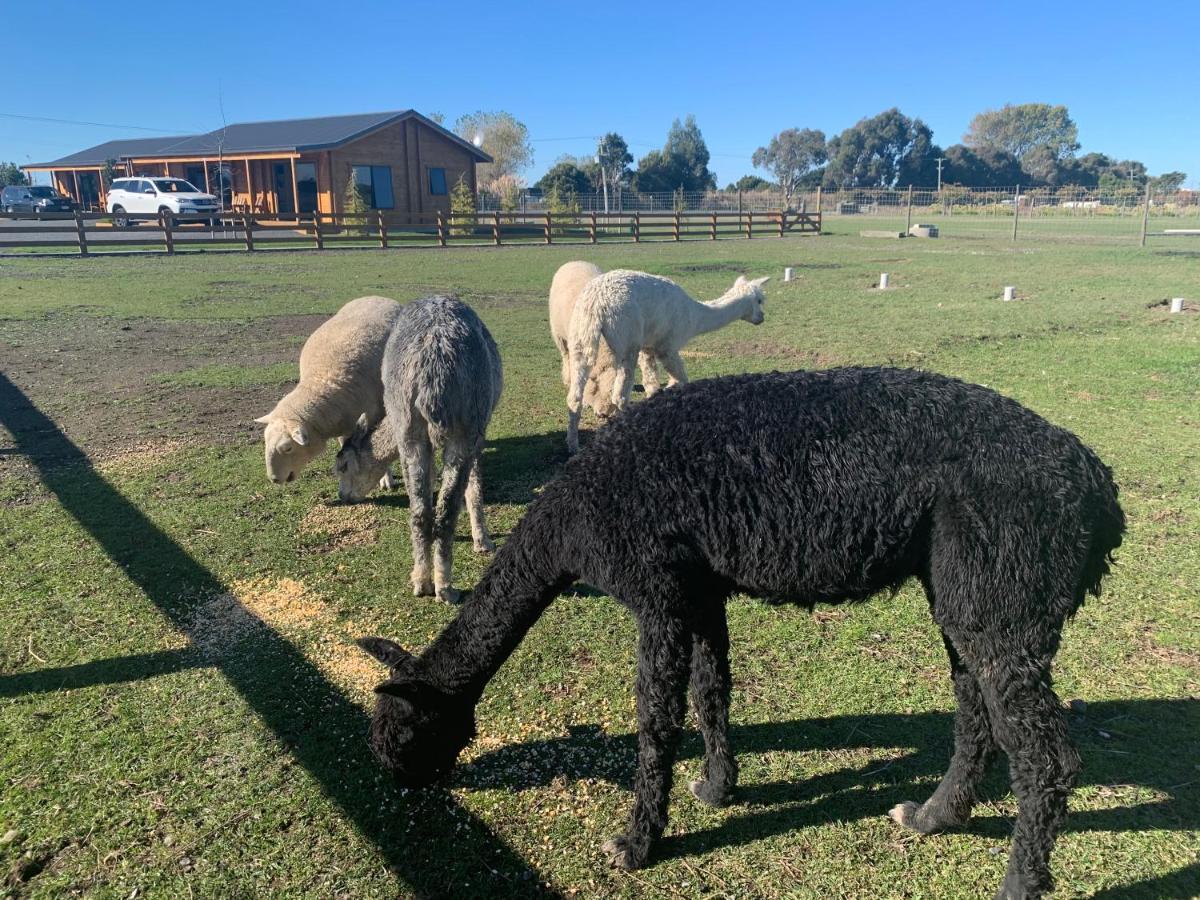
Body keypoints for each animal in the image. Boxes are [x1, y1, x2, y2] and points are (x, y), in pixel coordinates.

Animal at [549, 259, 662, 417]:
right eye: (595, 387)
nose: (604, 414)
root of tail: (576, 261)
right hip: (559, 335)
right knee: (566, 356)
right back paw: (567, 378)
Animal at [561, 266, 768, 451]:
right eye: (759, 300)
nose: (762, 318)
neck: (694, 317)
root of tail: (595, 303)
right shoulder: (667, 347)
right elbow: (680, 381)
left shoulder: (648, 346)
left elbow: (652, 384)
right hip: (626, 337)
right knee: (619, 395)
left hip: (580, 335)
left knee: (575, 397)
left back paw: (573, 446)